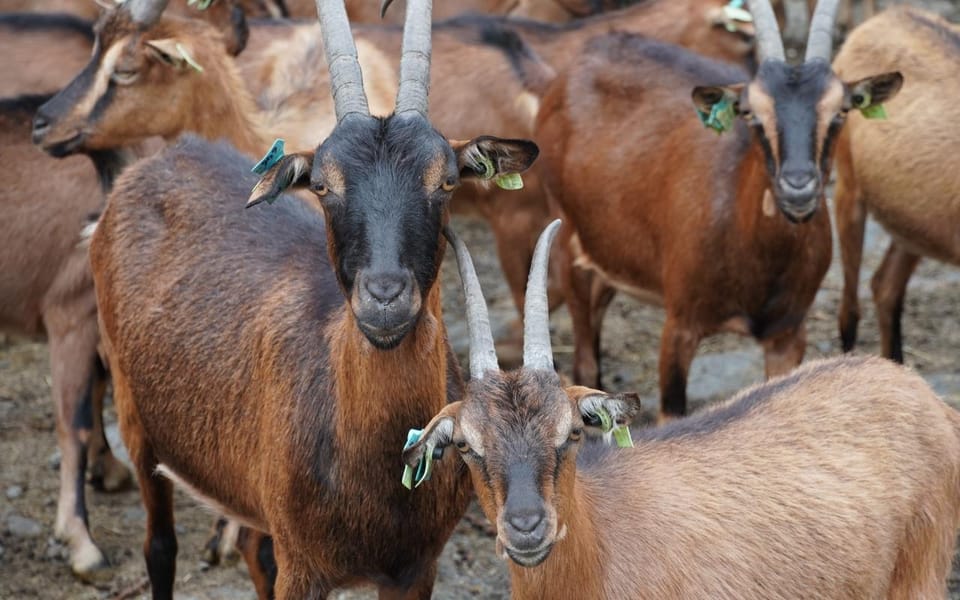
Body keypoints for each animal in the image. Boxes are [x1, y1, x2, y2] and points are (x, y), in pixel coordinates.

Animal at [85, 0, 540, 596]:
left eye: (445, 181)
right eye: (323, 185)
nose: (385, 297)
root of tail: (156, 163)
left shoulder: (417, 567)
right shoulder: (303, 568)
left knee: (253, 549)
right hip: (136, 418)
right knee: (159, 547)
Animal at [536, 0, 904, 418]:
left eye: (841, 111)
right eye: (751, 112)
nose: (798, 187)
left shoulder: (788, 334)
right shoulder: (679, 326)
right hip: (566, 240)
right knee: (585, 359)